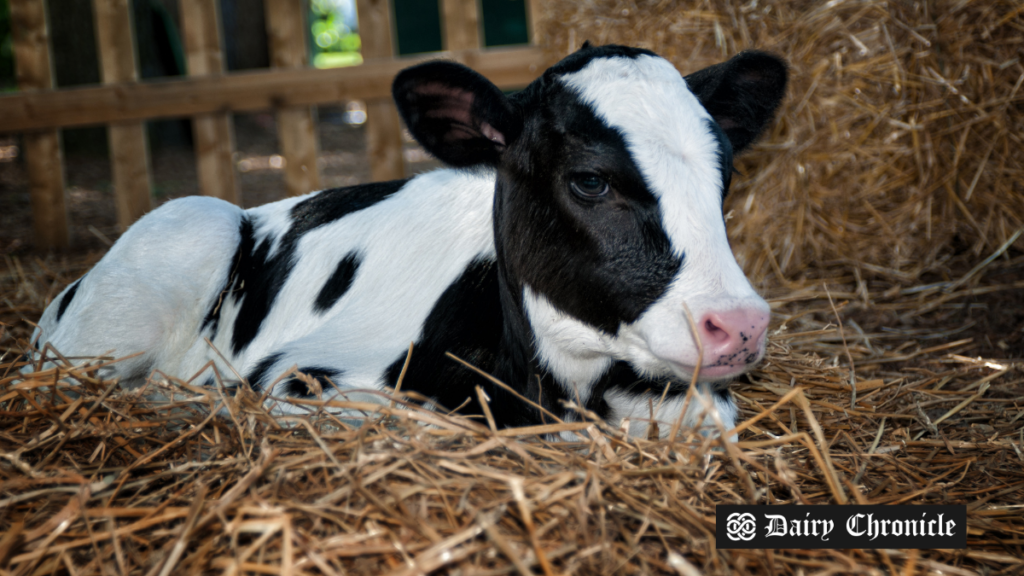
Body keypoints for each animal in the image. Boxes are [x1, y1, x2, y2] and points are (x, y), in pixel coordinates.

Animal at [29, 43, 782, 434]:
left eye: (723, 172)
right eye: (591, 181)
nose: (740, 324)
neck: (554, 387)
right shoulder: (299, 380)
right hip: (183, 236)